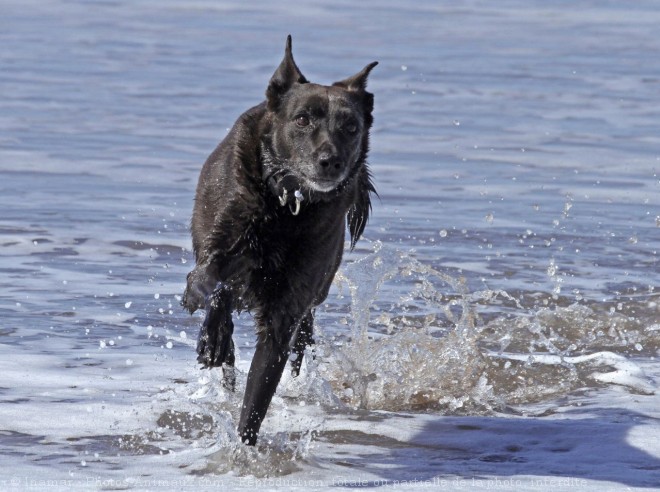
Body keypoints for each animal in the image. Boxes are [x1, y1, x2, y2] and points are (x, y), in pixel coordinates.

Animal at [182, 36, 376, 446]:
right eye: (302, 118)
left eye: (351, 127)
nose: (330, 161)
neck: (287, 204)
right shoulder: (221, 243)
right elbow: (211, 280)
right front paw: (210, 325)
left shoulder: (285, 312)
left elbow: (258, 395)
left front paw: (245, 447)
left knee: (303, 338)